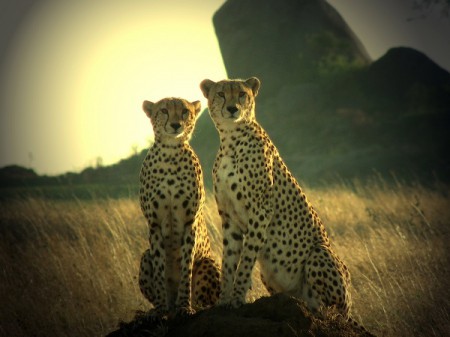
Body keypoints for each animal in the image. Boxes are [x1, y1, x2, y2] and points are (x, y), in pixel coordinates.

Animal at [138, 96, 221, 316]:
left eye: (185, 111)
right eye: (164, 110)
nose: (176, 125)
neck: (170, 153)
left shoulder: (189, 223)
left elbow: (186, 267)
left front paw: (185, 306)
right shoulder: (154, 224)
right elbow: (159, 269)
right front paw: (160, 309)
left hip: (208, 262)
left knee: (206, 301)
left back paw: (190, 306)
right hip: (144, 257)